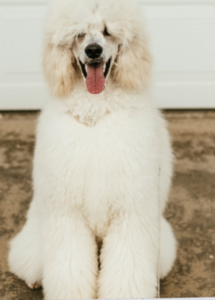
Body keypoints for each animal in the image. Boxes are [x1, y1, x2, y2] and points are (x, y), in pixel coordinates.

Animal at [7, 0, 176, 298]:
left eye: (108, 31)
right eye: (79, 34)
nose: (93, 51)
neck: (96, 113)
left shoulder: (131, 212)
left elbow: (127, 267)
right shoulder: (66, 212)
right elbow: (69, 266)